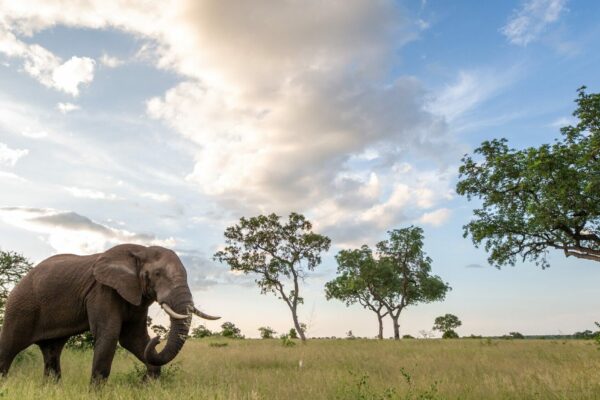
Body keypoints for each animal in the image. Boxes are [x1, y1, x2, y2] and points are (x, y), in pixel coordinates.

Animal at [0, 242, 220, 382]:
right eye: (157, 274)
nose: (158, 338)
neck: (141, 251)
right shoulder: (102, 290)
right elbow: (109, 334)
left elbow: (134, 339)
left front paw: (149, 386)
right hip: (20, 307)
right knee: (9, 347)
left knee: (52, 352)